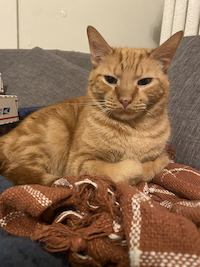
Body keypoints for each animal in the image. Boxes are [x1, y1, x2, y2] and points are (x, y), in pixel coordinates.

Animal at [0, 26, 183, 186]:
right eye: (110, 80)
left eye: (144, 82)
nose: (125, 99)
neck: (132, 129)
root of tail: (5, 137)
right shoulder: (80, 162)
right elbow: (131, 168)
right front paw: (139, 166)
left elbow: (157, 162)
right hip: (54, 134)